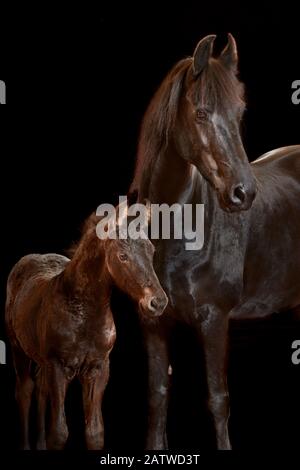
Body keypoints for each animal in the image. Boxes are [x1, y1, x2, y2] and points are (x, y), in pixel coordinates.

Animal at [5, 207, 169, 450]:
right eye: (122, 256)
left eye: (151, 250)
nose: (157, 302)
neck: (84, 314)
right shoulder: (57, 367)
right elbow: (59, 433)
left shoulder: (98, 368)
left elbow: (94, 433)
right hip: (18, 349)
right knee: (25, 391)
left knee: (41, 391)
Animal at [130, 35, 300, 450]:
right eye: (202, 113)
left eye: (239, 113)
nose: (243, 194)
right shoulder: (152, 323)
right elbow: (158, 395)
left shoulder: (214, 319)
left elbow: (218, 400)